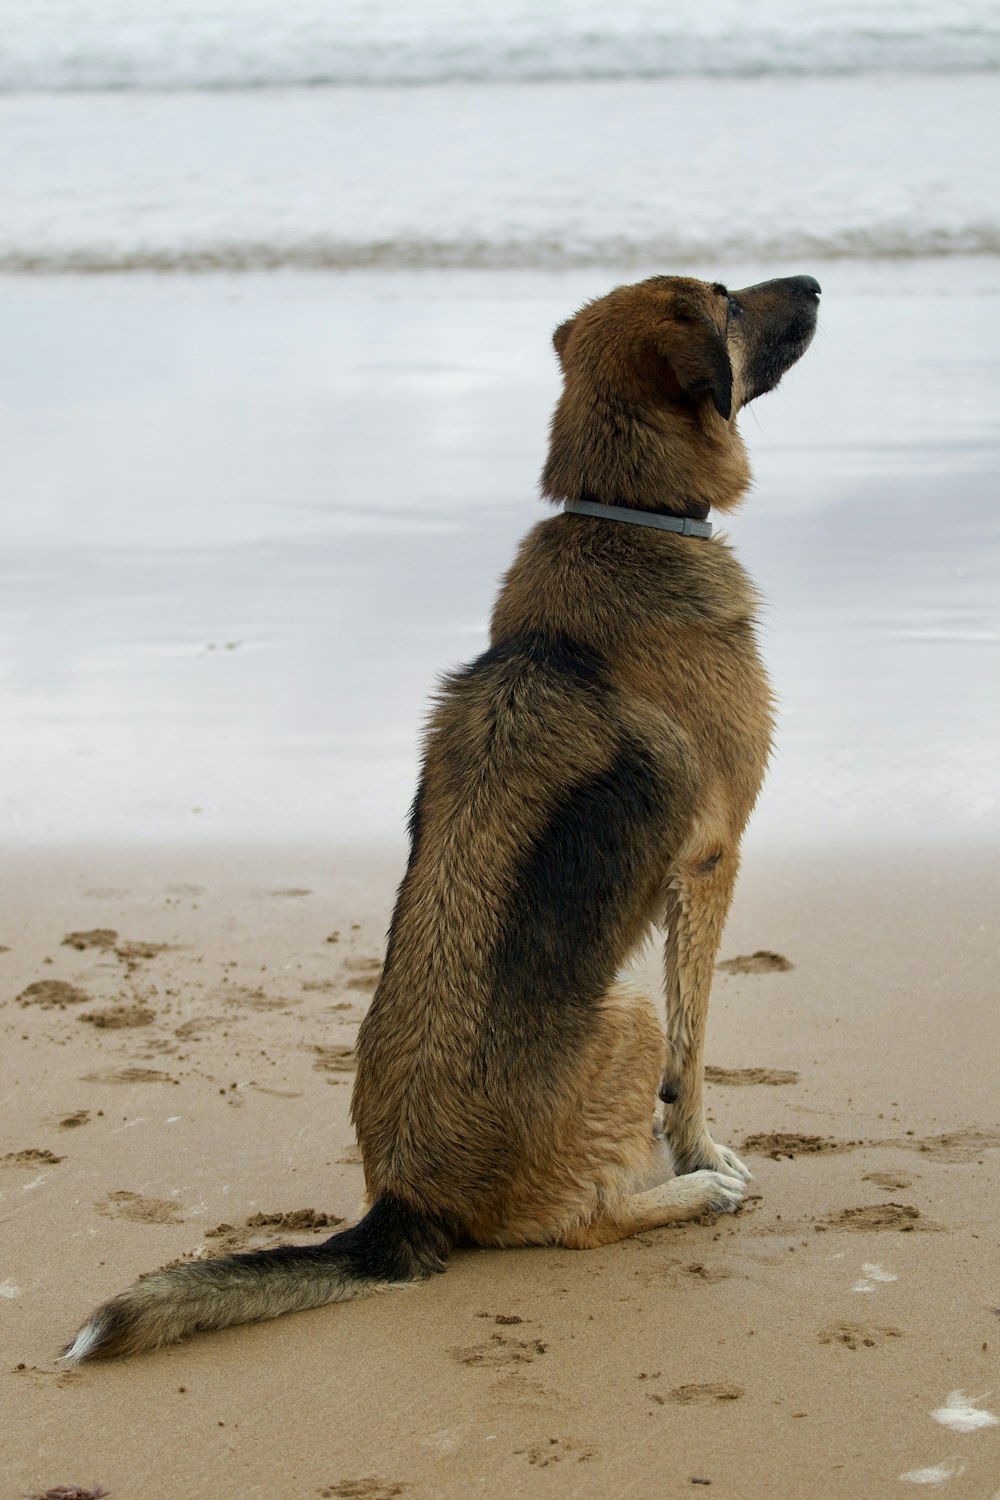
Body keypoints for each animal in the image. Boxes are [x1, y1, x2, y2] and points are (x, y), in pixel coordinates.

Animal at [62, 270, 815, 1362]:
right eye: (725, 295)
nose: (814, 284)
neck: (627, 514)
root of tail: (404, 1205)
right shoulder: (713, 861)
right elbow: (694, 1050)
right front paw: (701, 1149)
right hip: (622, 1006)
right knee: (580, 1224)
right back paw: (692, 1194)